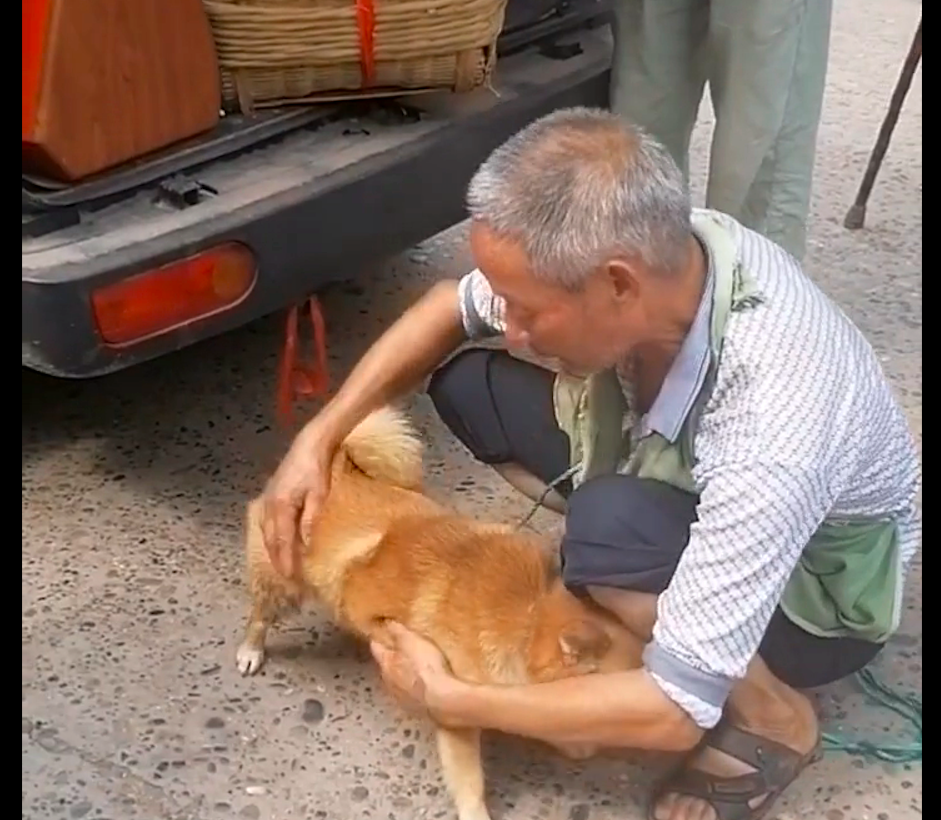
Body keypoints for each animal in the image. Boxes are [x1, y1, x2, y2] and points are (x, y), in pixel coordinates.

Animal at [239, 406, 644, 820]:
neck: (529, 614)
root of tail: (338, 463)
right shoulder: (453, 708)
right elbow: (469, 779)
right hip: (281, 582)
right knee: (261, 615)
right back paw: (251, 650)